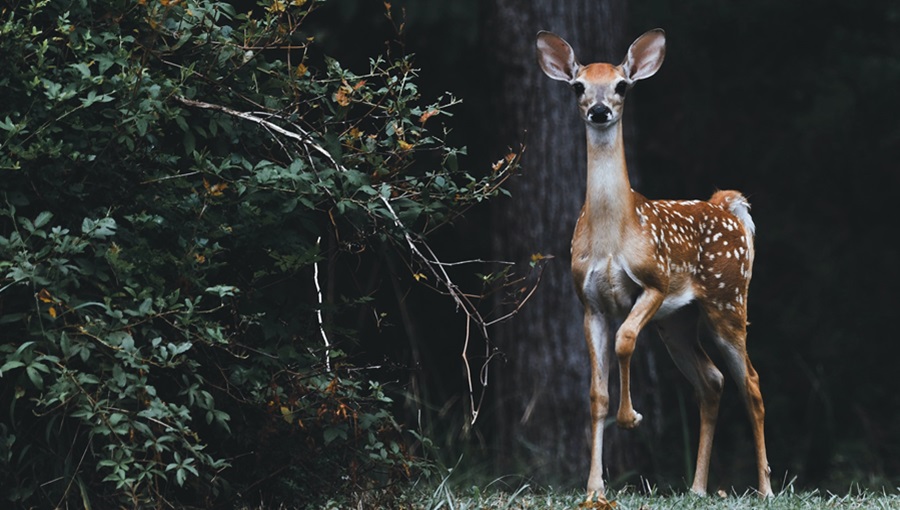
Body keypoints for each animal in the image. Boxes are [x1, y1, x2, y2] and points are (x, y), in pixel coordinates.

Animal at [536, 28, 772, 502]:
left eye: (622, 85)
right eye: (578, 87)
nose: (600, 110)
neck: (613, 234)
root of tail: (727, 206)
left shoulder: (655, 282)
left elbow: (625, 340)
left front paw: (632, 418)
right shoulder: (588, 302)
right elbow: (596, 393)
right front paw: (595, 488)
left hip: (728, 300)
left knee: (751, 383)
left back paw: (766, 488)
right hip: (678, 322)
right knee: (711, 381)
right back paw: (697, 488)